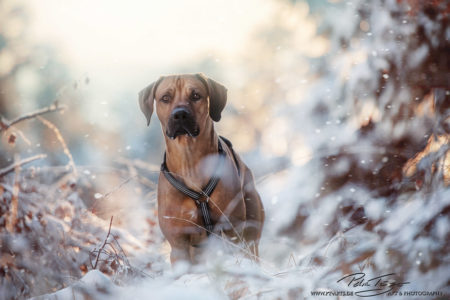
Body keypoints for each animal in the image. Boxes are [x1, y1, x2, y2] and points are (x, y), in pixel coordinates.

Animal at [138, 74, 264, 264]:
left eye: (196, 95)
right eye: (165, 98)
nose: (180, 114)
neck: (189, 160)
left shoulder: (233, 231)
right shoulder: (178, 243)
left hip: (250, 228)